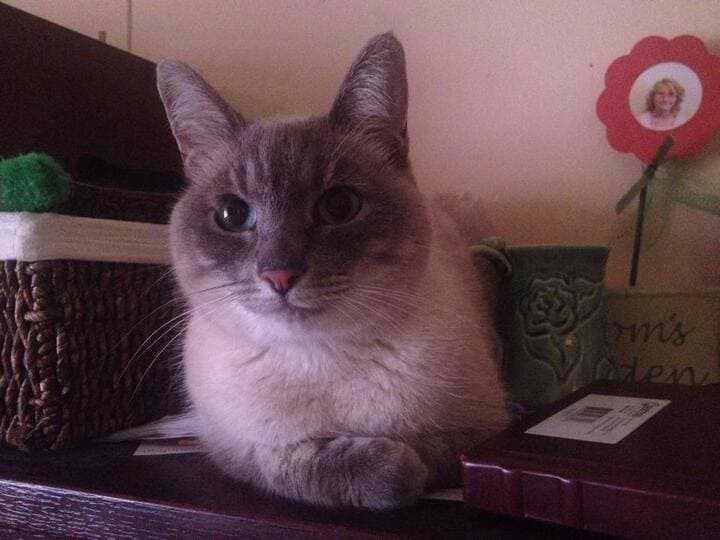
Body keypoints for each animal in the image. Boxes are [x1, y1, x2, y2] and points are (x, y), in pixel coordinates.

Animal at [157, 31, 506, 508]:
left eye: (339, 206)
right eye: (232, 215)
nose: (279, 275)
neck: (316, 357)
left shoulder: (486, 428)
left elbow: (428, 450)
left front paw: (399, 458)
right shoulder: (233, 449)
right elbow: (303, 464)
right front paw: (382, 464)